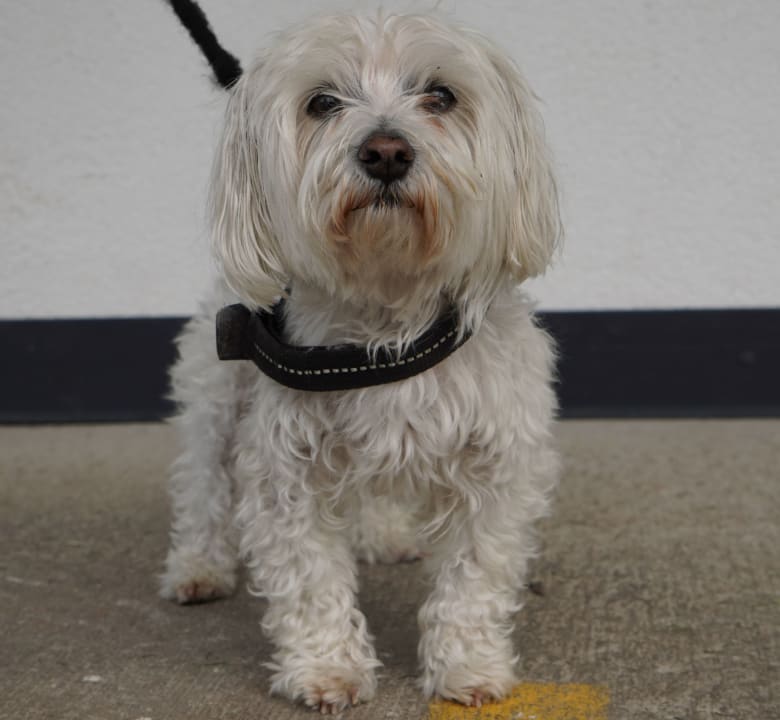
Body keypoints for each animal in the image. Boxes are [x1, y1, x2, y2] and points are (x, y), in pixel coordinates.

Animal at [160, 11, 561, 713]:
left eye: (440, 96)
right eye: (322, 102)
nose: (386, 152)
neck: (386, 312)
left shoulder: (497, 467)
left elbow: (473, 578)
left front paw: (467, 667)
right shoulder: (285, 469)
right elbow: (309, 578)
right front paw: (326, 670)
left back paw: (383, 534)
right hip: (214, 397)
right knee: (202, 484)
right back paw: (198, 567)